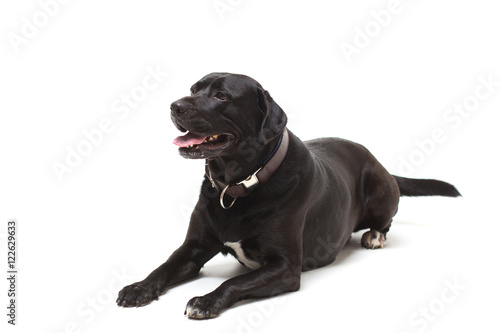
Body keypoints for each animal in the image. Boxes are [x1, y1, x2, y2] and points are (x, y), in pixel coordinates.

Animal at [117, 72, 460, 316]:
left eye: (221, 95)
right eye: (193, 89)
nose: (175, 106)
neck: (236, 185)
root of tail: (379, 161)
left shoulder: (285, 267)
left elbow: (234, 281)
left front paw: (206, 300)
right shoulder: (194, 247)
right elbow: (164, 265)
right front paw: (139, 287)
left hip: (380, 190)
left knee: (386, 219)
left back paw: (375, 235)